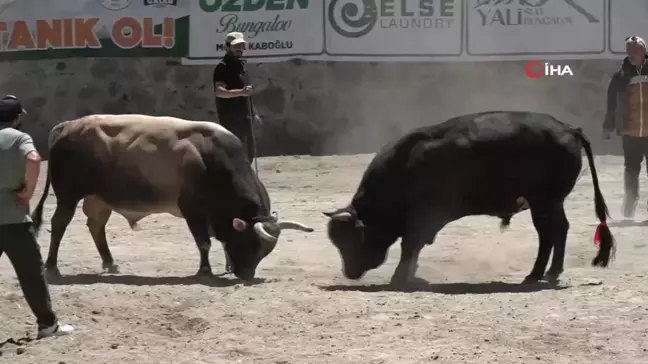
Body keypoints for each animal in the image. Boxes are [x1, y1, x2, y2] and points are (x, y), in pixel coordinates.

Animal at [31, 114, 314, 282]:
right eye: (251, 244)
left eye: (265, 251)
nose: (246, 275)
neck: (213, 161)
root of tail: (68, 126)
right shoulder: (192, 210)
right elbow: (203, 243)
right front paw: (205, 271)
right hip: (68, 195)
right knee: (59, 224)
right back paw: (52, 267)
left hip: (99, 198)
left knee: (96, 226)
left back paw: (110, 263)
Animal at [324, 109, 616, 286]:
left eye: (350, 239)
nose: (349, 273)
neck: (404, 166)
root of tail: (568, 129)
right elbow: (414, 248)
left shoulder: (423, 217)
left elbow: (410, 245)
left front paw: (399, 278)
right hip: (549, 203)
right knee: (556, 231)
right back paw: (547, 273)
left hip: (544, 202)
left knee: (550, 233)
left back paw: (539, 274)